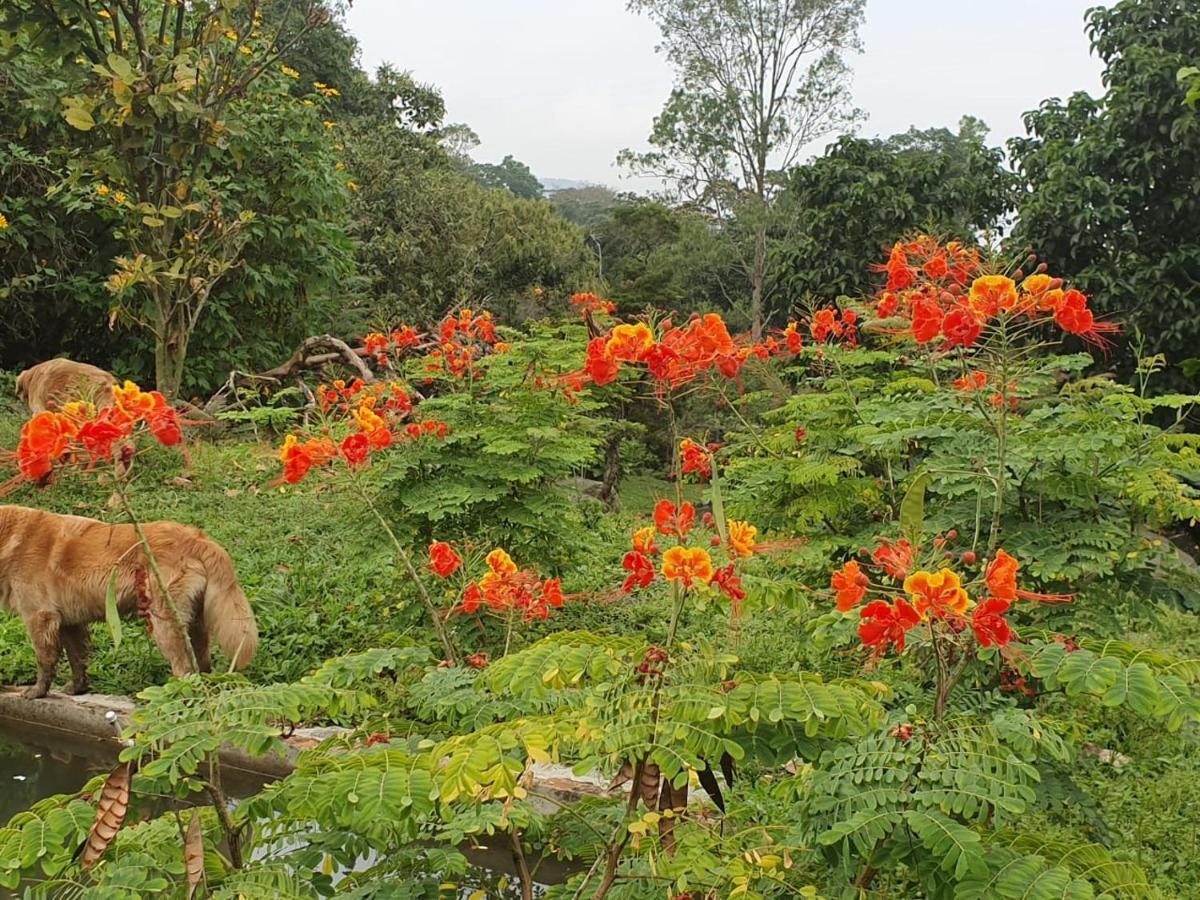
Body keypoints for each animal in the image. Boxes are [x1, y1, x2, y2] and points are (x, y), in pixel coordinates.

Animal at [0, 504, 260, 700]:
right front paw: (78, 688)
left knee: (183, 669)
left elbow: (44, 660)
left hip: (163, 623)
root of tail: (197, 538)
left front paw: (36, 692)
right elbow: (78, 659)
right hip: (195, 622)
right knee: (202, 664)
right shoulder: (69, 623)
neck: (8, 537)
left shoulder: (40, 617)